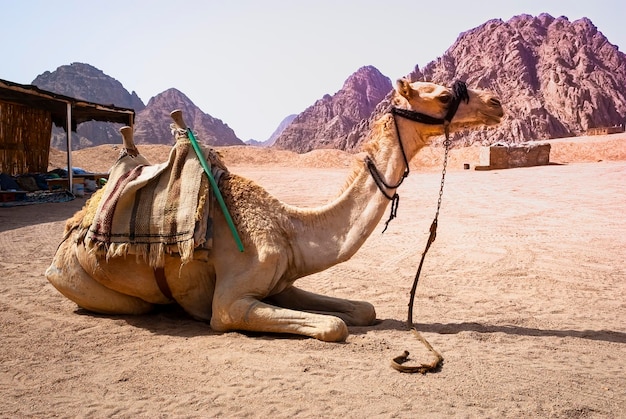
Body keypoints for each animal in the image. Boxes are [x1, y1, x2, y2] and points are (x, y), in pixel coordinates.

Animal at [45, 79, 502, 342]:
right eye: (444, 95)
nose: (497, 102)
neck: (288, 227)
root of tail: (71, 229)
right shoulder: (232, 302)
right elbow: (333, 326)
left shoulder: (282, 283)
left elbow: (362, 310)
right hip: (78, 280)